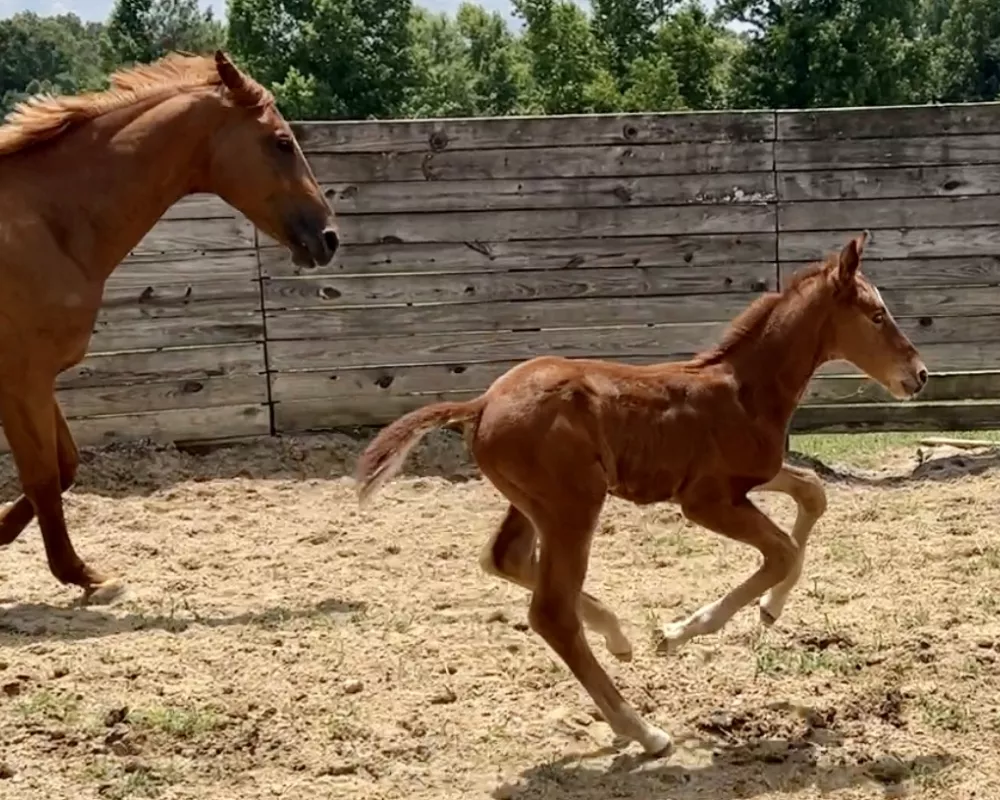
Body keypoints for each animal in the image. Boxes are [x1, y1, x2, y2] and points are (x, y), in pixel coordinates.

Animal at [354, 231, 928, 756]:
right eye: (877, 315)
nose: (919, 375)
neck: (744, 389)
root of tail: (481, 404)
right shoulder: (705, 500)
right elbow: (783, 552)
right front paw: (678, 632)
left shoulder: (750, 477)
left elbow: (812, 493)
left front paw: (769, 610)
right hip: (573, 505)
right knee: (551, 612)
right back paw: (644, 731)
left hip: (533, 502)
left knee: (504, 558)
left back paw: (618, 636)